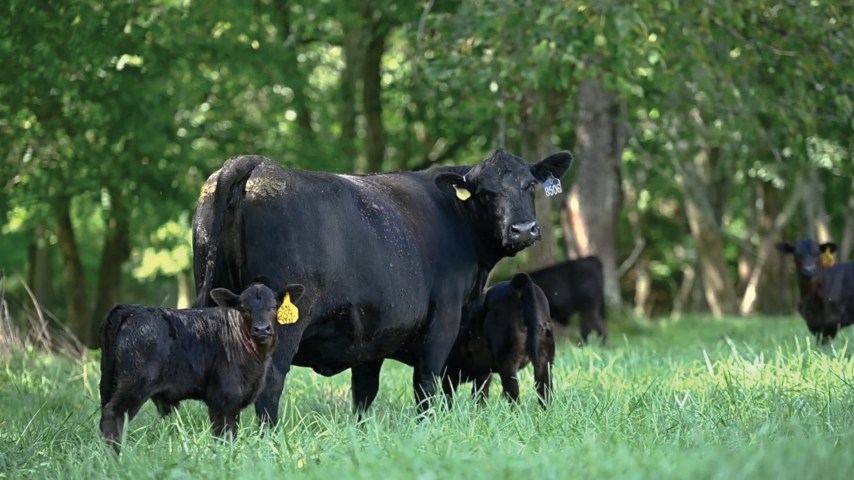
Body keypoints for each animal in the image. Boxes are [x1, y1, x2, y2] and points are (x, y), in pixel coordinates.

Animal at [99, 282, 306, 446]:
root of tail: (134, 310)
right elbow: (225, 435)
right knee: (113, 414)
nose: (262, 329)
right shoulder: (223, 398)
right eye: (243, 308)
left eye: (274, 306)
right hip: (135, 383)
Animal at [442, 272, 556, 406]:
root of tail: (516, 283)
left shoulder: (449, 372)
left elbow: (447, 399)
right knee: (545, 392)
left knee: (514, 396)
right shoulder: (484, 374)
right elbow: (480, 397)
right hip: (544, 360)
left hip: (507, 362)